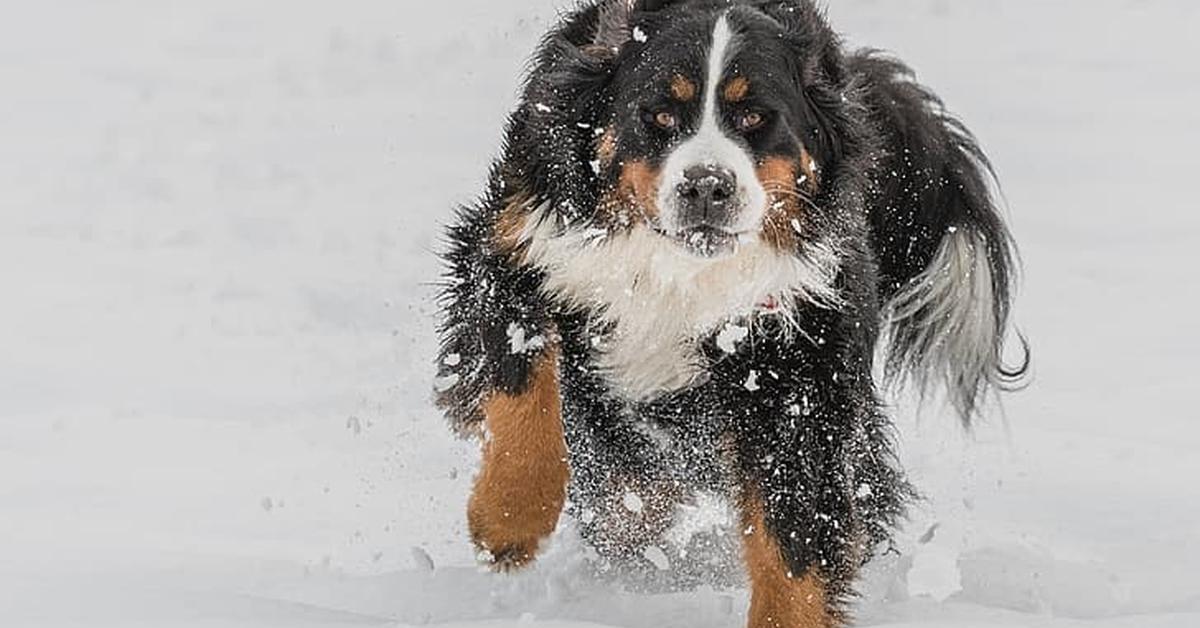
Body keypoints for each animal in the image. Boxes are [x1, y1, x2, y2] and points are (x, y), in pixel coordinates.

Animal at [436, 1, 1027, 624]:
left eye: (755, 118)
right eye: (660, 115)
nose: (706, 186)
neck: (676, 274)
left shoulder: (793, 363)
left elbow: (793, 533)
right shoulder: (517, 249)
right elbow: (522, 385)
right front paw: (507, 519)